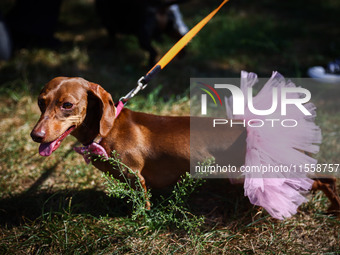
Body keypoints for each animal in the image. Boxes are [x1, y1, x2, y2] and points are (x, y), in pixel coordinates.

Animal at [31, 76, 340, 216]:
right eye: (40, 102)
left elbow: (142, 203)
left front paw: (141, 218)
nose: (36, 135)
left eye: (67, 105)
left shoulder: (135, 175)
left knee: (324, 180)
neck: (106, 129)